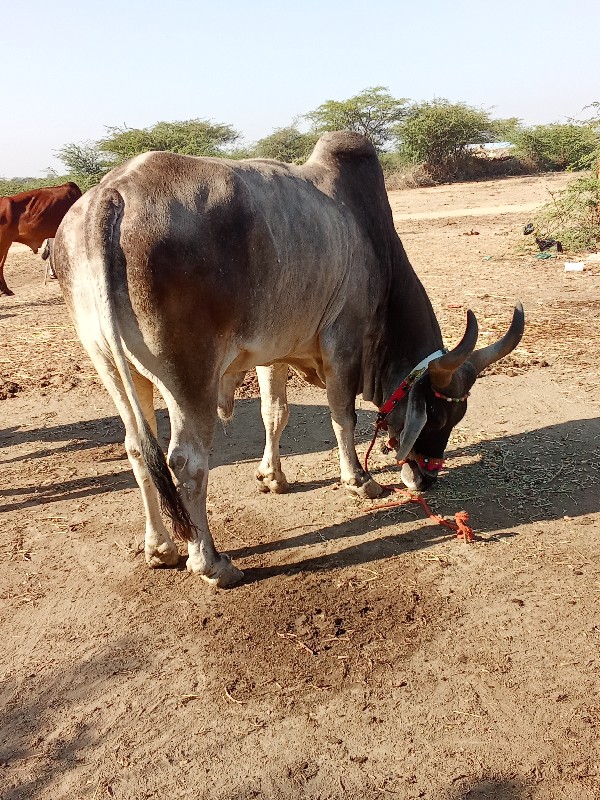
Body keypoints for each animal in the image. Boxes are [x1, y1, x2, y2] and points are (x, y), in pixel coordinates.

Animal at [55, 133, 524, 588]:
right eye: (441, 417)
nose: (428, 478)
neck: (378, 250)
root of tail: (113, 192)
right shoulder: (343, 346)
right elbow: (342, 416)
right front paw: (360, 481)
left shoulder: (272, 353)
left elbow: (274, 413)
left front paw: (272, 477)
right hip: (190, 377)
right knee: (187, 463)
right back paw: (211, 562)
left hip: (116, 369)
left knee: (138, 448)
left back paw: (160, 548)